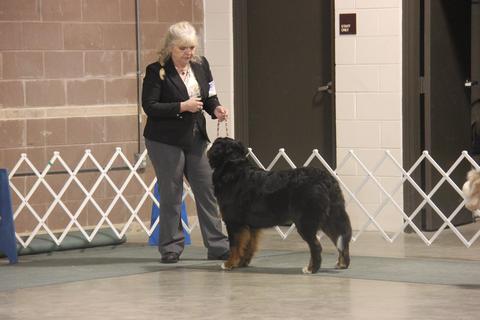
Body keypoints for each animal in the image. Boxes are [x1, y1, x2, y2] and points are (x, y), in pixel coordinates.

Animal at [207, 136, 352, 274]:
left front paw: (229, 264)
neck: (234, 168)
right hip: (331, 218)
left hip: (305, 221)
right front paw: (242, 263)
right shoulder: (251, 225)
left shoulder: (233, 221)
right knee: (341, 240)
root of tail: (325, 178)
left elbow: (234, 245)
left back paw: (311, 269)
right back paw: (342, 264)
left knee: (316, 246)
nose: (208, 149)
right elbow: (248, 245)